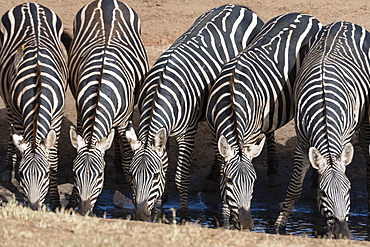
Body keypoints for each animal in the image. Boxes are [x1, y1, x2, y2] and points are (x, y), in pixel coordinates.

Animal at [0, 2, 69, 209]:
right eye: (23, 175)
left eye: (46, 174)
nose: (33, 207)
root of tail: (29, 3)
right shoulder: (19, 114)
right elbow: (19, 142)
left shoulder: (57, 117)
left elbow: (52, 157)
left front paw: (55, 201)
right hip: (9, 103)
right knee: (11, 131)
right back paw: (7, 168)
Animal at [67, 0, 148, 216]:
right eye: (75, 173)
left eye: (99, 175)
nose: (83, 212)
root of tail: (107, 1)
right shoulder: (81, 113)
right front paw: (72, 201)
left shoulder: (124, 120)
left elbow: (129, 160)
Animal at [125, 4, 264, 220]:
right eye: (132, 175)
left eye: (154, 176)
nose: (140, 216)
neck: (162, 92)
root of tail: (238, 6)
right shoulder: (162, 132)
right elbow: (164, 162)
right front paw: (158, 206)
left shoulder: (187, 132)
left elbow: (180, 176)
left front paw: (183, 214)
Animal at [207, 13, 322, 230]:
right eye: (230, 181)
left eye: (253, 181)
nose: (247, 224)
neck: (231, 100)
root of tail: (303, 14)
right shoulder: (215, 132)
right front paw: (225, 219)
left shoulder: (248, 135)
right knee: (270, 131)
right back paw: (273, 171)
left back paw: (310, 184)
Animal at [274, 21, 370, 239]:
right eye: (324, 194)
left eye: (348, 191)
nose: (343, 234)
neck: (324, 112)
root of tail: (344, 22)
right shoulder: (302, 143)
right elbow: (294, 188)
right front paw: (279, 226)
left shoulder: (344, 139)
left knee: (366, 143)